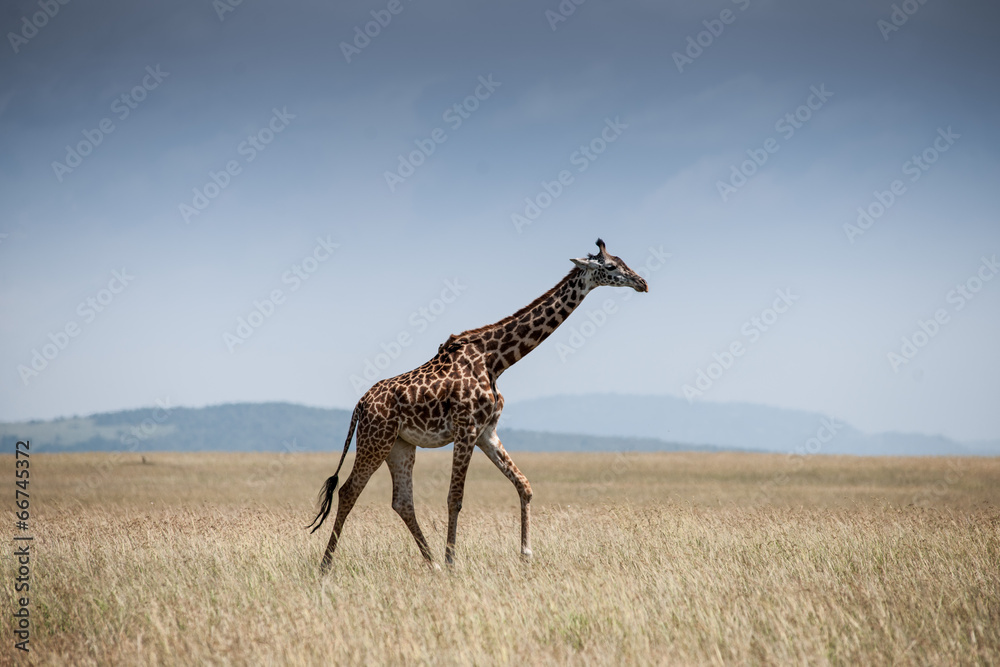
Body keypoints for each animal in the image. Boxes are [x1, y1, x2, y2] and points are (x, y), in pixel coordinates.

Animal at [307, 238, 649, 571]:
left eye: (622, 261)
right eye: (610, 266)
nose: (642, 282)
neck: (496, 360)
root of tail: (359, 405)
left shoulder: (487, 432)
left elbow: (524, 484)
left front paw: (525, 553)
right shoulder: (467, 429)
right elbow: (455, 497)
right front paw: (453, 561)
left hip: (400, 445)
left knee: (401, 501)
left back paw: (431, 564)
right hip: (374, 439)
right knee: (349, 490)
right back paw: (327, 565)